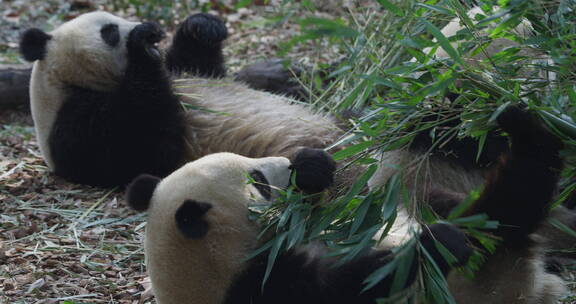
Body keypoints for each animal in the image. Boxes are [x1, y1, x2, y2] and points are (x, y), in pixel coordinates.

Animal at [19, 11, 342, 188]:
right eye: (109, 31)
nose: (153, 29)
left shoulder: (182, 70)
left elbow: (201, 66)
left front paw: (203, 26)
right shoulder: (74, 127)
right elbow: (144, 142)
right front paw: (141, 45)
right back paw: (313, 166)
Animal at [125, 107, 564, 304]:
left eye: (255, 170)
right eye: (259, 182)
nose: (284, 163)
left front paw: (311, 168)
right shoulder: (266, 287)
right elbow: (358, 283)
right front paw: (434, 245)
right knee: (508, 208)